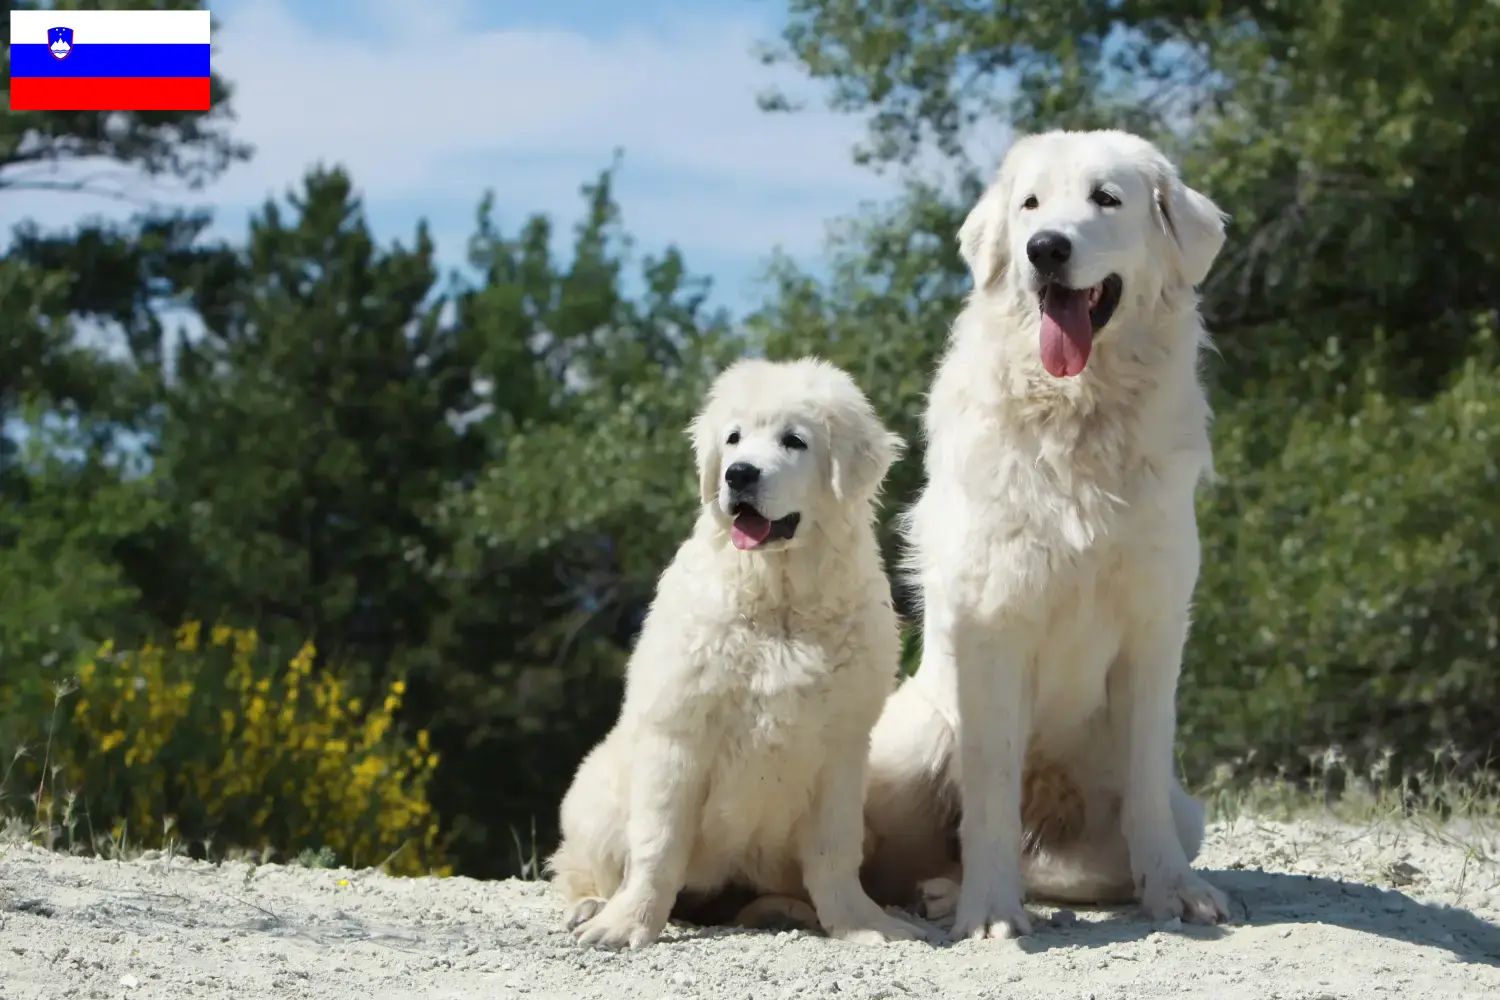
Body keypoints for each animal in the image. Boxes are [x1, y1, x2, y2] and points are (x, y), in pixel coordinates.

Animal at [552, 355, 924, 953]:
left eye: (794, 440)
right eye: (732, 439)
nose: (739, 475)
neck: (779, 599)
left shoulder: (842, 748)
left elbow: (834, 853)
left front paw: (862, 923)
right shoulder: (678, 733)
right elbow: (657, 845)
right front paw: (626, 925)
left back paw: (781, 911)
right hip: (596, 792)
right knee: (582, 864)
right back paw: (591, 906)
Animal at [864, 131, 1236, 941]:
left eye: (1107, 199)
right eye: (1030, 205)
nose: (1046, 249)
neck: (1079, 417)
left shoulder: (1154, 628)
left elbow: (1146, 787)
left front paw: (1175, 893)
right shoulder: (993, 626)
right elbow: (992, 791)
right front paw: (990, 915)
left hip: (1175, 811)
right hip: (907, 747)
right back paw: (947, 896)